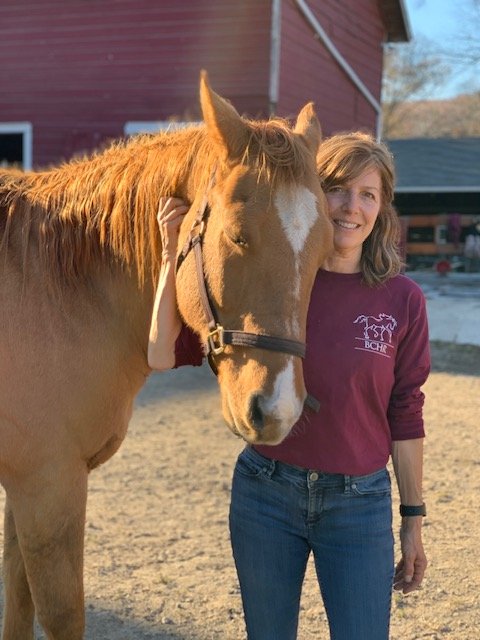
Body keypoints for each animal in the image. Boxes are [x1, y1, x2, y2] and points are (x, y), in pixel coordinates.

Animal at [0, 72, 332, 636]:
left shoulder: (23, 486)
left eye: (324, 246)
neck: (55, 286)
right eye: (237, 236)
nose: (278, 409)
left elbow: (17, 604)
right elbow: (60, 613)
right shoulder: (46, 485)